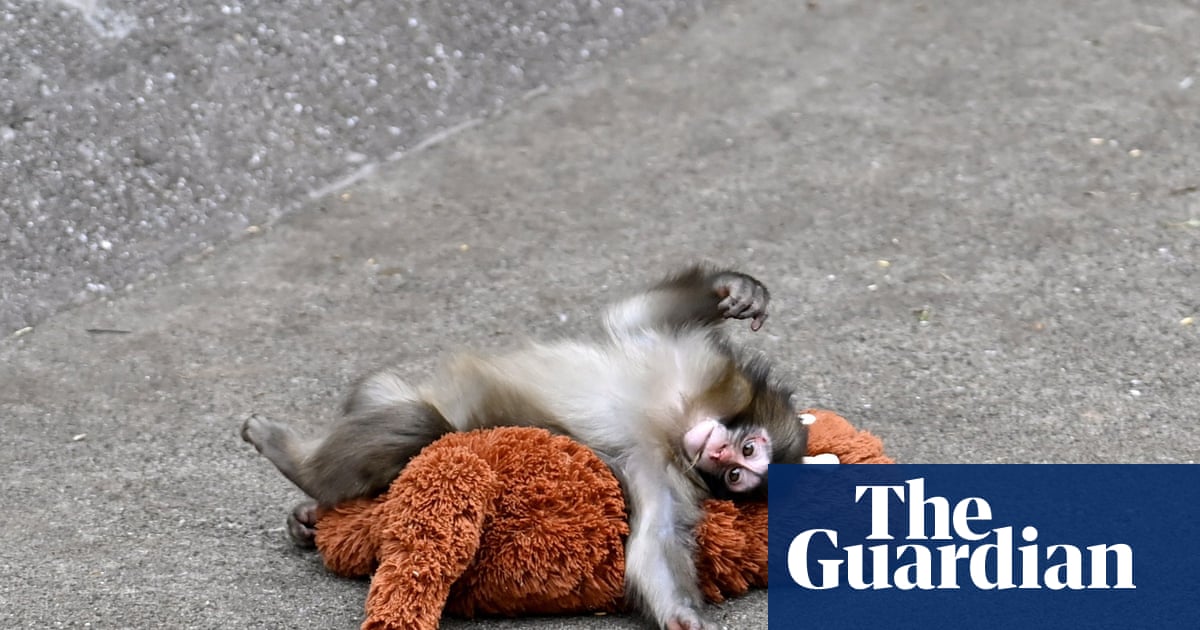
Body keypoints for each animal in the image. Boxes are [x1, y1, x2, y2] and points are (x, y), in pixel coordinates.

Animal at [242, 264, 809, 630]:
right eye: (748, 452)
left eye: (738, 476)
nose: (720, 456)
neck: (678, 419)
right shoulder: (690, 360)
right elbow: (635, 314)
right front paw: (736, 289)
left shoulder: (664, 471)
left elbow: (653, 542)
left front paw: (681, 617)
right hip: (385, 390)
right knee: (410, 413)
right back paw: (302, 474)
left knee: (419, 425)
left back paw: (306, 489)